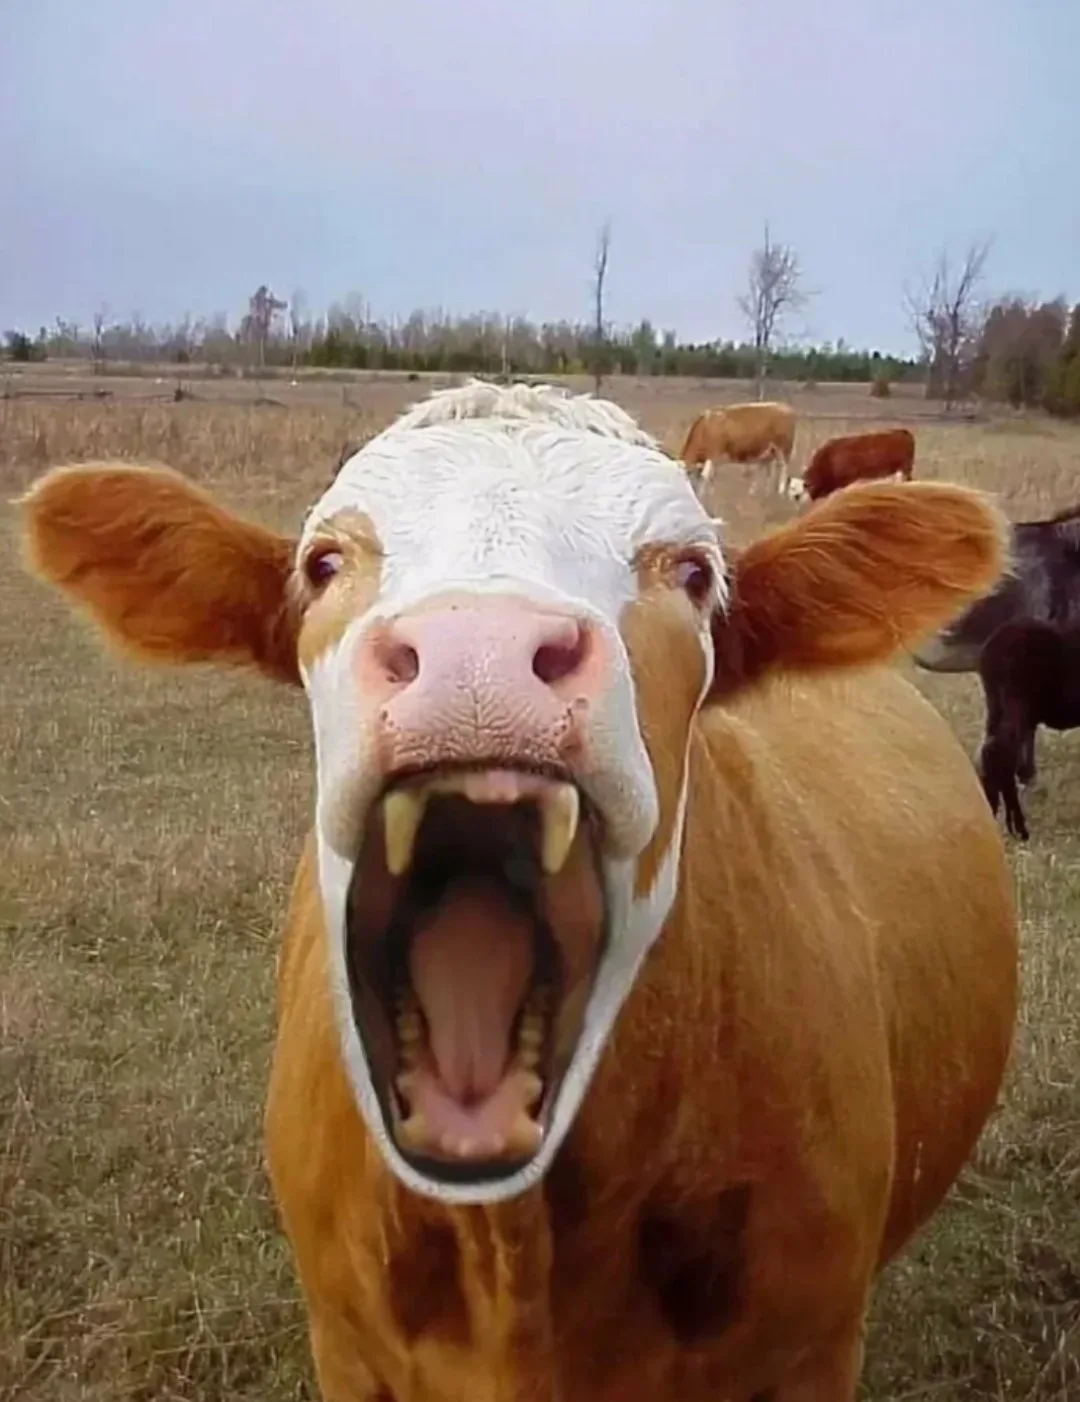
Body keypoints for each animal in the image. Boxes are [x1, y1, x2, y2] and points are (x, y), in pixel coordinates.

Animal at [788, 427, 916, 505]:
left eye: (804, 488)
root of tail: (902, 431)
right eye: (792, 488)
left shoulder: (848, 481)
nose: (795, 497)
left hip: (905, 469)